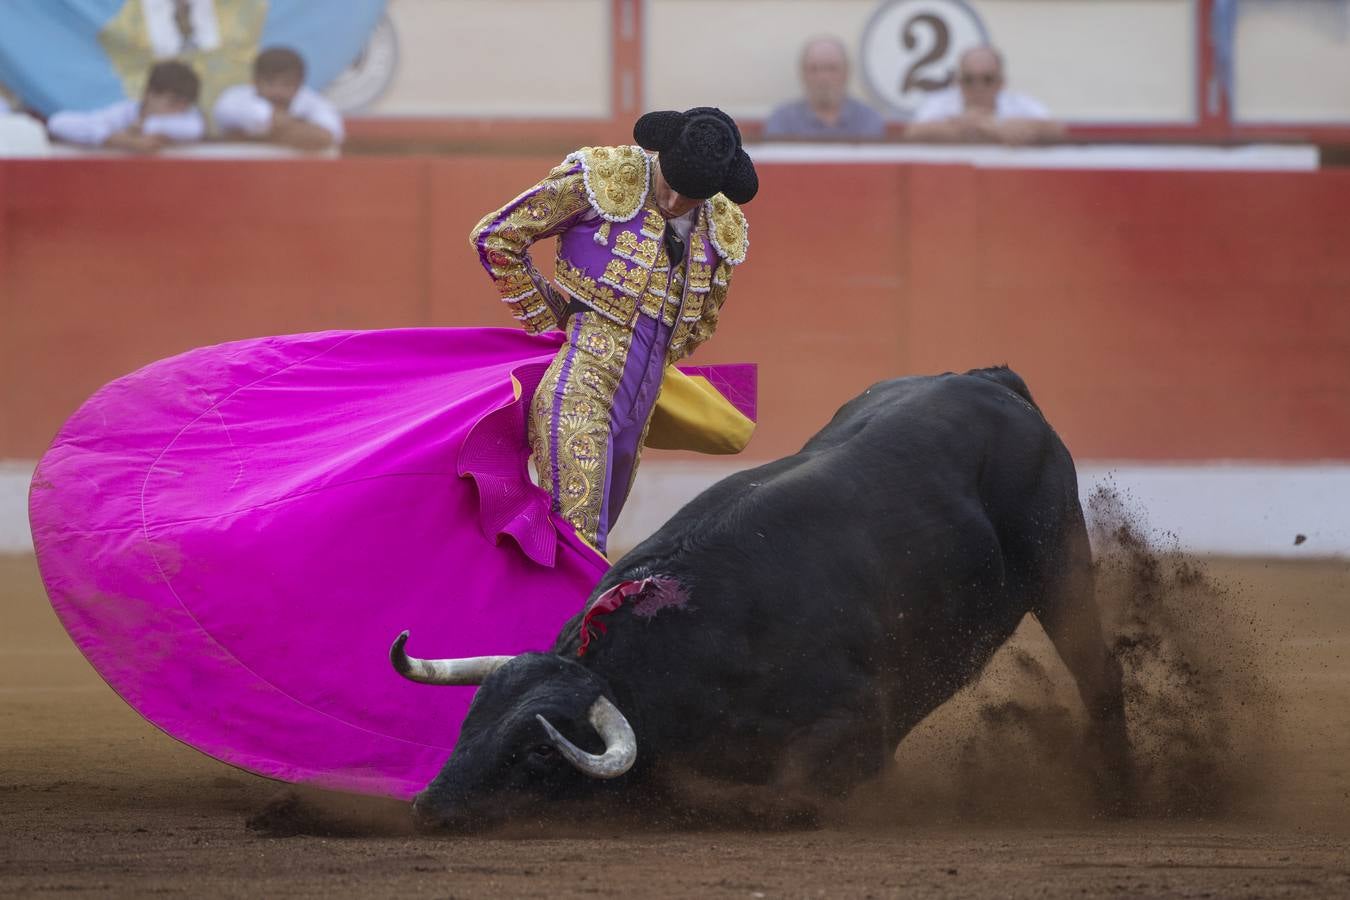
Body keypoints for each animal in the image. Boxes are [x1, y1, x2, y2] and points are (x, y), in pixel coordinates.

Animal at [391, 367, 1128, 831]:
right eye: (472, 720)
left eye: (540, 751)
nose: (432, 807)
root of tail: (991, 382)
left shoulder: (857, 720)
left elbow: (785, 796)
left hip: (1059, 562)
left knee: (1099, 669)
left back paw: (1116, 790)